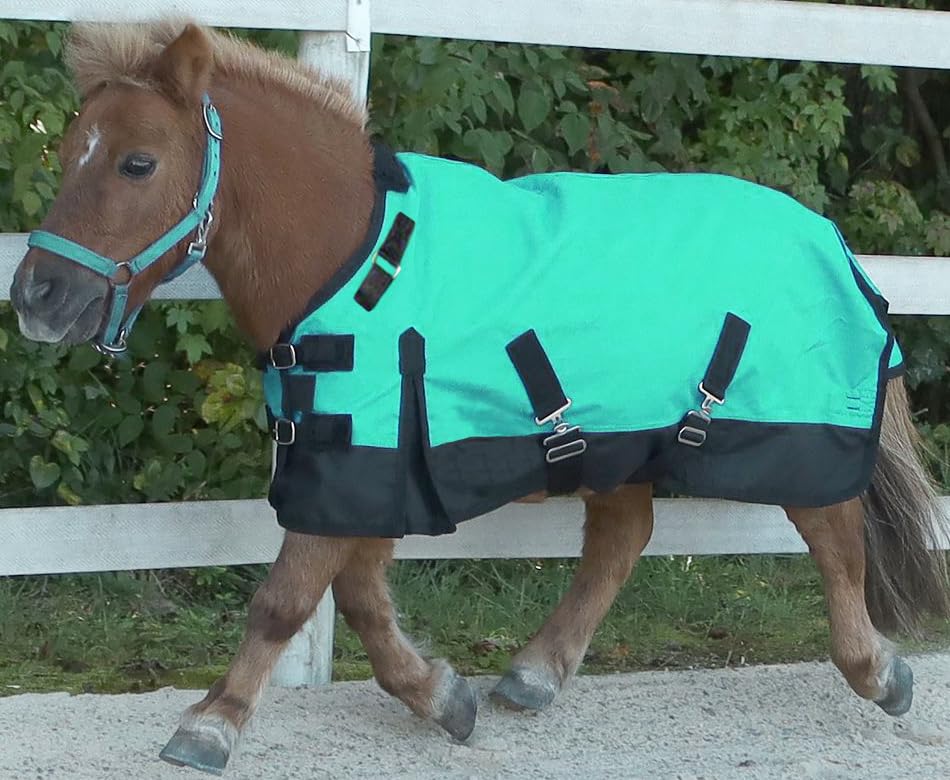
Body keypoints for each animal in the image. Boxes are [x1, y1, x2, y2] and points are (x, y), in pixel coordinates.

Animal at [9, 21, 950, 776]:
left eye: (138, 162)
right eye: (67, 150)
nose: (36, 295)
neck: (354, 257)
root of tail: (827, 237)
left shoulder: (357, 463)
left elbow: (285, 599)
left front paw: (212, 723)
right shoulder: (367, 468)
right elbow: (359, 600)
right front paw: (440, 695)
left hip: (795, 434)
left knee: (834, 536)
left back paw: (880, 672)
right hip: (618, 442)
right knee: (622, 541)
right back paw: (534, 674)